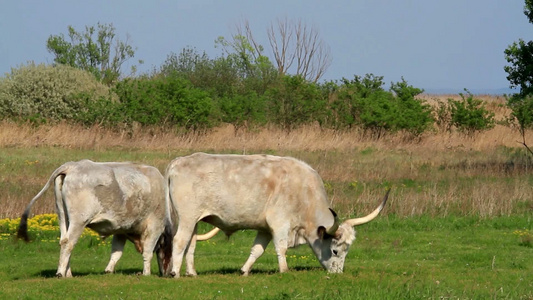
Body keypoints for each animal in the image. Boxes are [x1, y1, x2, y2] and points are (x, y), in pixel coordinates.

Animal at [17, 161, 216, 278]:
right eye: (168, 251)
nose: (167, 273)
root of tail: (71, 166)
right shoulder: (154, 226)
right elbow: (148, 251)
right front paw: (146, 272)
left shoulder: (121, 229)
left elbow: (116, 252)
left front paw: (109, 270)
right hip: (78, 221)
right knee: (68, 243)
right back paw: (61, 273)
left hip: (63, 217)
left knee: (64, 242)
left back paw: (68, 272)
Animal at [164, 154, 388, 278]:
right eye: (335, 251)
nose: (337, 273)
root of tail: (178, 161)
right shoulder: (279, 223)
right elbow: (281, 248)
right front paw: (284, 270)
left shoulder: (264, 228)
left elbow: (257, 250)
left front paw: (244, 270)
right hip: (187, 218)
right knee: (179, 240)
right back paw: (175, 273)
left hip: (195, 220)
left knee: (191, 244)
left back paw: (191, 272)